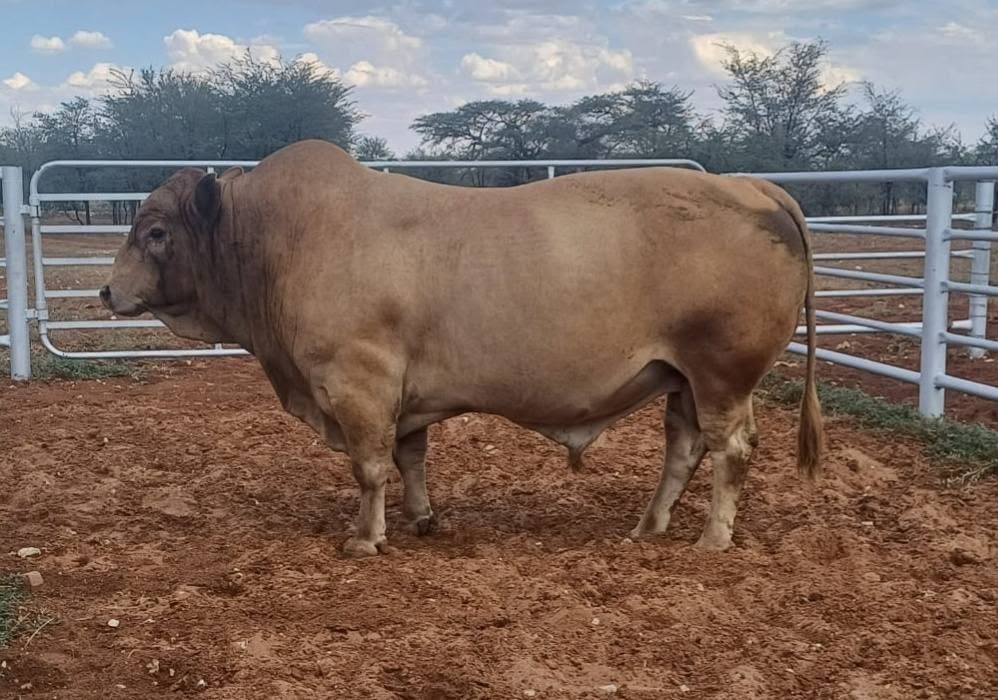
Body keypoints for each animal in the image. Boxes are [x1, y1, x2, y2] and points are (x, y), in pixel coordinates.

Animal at [101, 139, 822, 558]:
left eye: (157, 231)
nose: (107, 290)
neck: (278, 239)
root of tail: (750, 185)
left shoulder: (358, 382)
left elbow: (370, 467)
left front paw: (364, 538)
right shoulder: (405, 395)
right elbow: (410, 457)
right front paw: (421, 518)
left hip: (722, 372)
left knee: (732, 448)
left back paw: (713, 537)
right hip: (681, 378)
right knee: (684, 447)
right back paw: (650, 525)